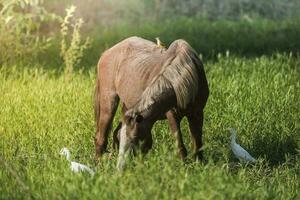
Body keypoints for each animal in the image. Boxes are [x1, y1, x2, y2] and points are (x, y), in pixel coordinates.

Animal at [94, 36, 209, 169]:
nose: (121, 167)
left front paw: (199, 165)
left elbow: (197, 143)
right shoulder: (172, 116)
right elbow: (180, 145)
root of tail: (105, 53)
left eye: (135, 137)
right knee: (101, 137)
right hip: (108, 104)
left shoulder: (197, 113)